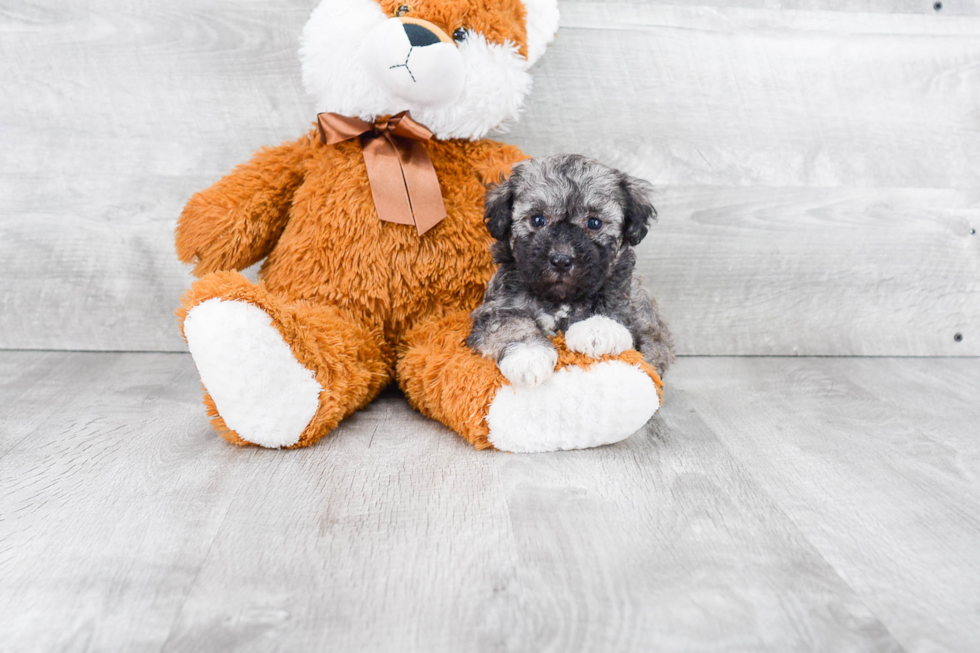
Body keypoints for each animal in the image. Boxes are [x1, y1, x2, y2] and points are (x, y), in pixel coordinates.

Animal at [468, 153, 672, 388]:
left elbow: (614, 305)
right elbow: (510, 323)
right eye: (538, 219)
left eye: (594, 223)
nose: (561, 261)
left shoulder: (631, 303)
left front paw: (597, 328)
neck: (560, 299)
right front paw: (528, 354)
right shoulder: (497, 306)